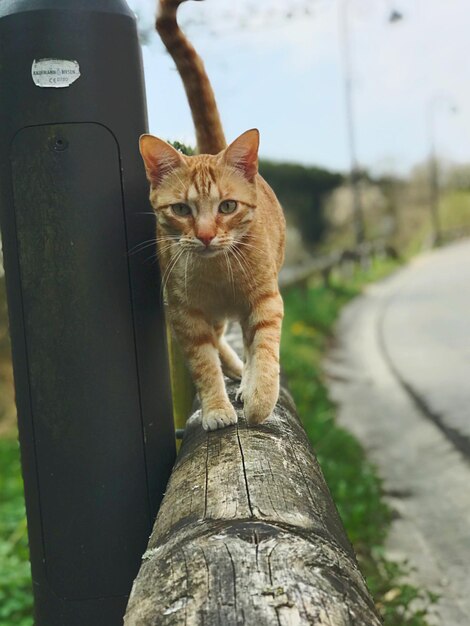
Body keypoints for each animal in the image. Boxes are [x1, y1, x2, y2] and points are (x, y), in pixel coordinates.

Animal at [139, 0, 286, 428]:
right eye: (182, 209)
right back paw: (233, 372)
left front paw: (259, 399)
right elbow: (203, 365)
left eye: (227, 206)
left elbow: (264, 352)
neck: (220, 273)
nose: (205, 235)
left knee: (248, 345)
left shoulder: (266, 300)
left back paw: (245, 380)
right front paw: (217, 408)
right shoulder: (184, 315)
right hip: (208, 316)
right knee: (221, 340)